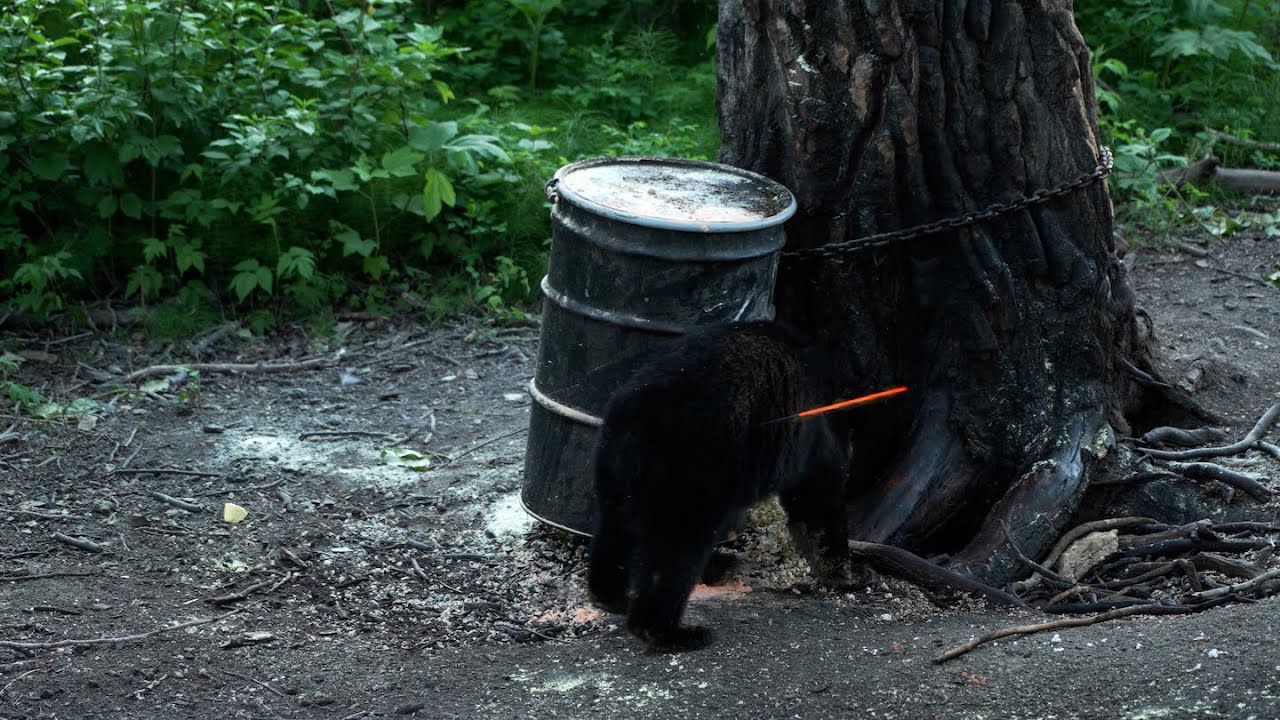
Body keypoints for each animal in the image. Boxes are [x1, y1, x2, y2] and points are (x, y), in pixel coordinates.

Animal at [587, 320, 858, 651]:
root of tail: (637, 419)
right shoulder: (812, 436)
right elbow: (817, 501)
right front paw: (848, 573)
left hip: (613, 469)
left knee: (614, 529)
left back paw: (610, 596)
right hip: (691, 477)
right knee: (677, 550)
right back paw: (669, 631)